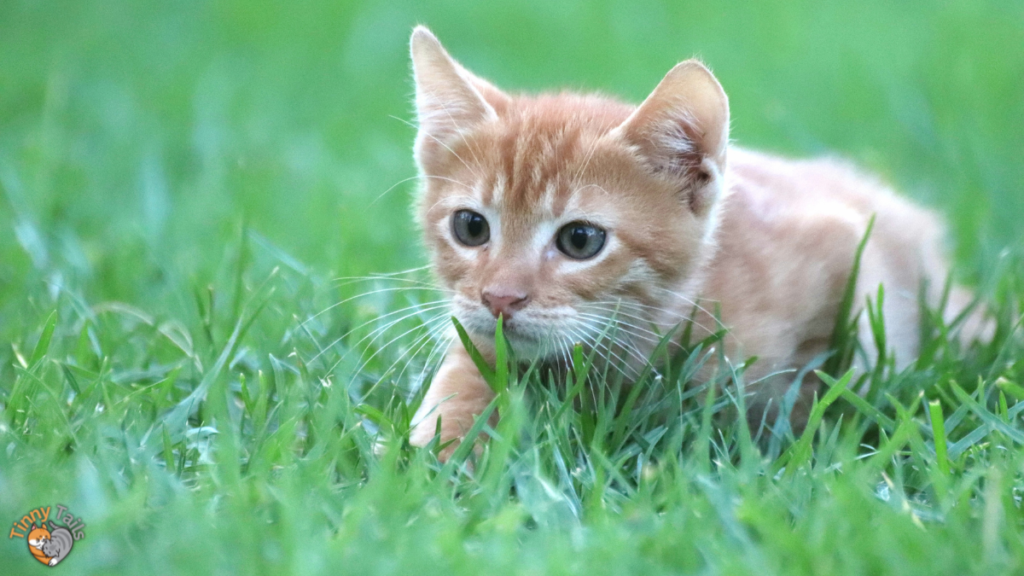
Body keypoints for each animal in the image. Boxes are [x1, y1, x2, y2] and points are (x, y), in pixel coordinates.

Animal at [403, 25, 978, 457]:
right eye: (471, 228)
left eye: (581, 240)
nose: (500, 298)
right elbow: (466, 377)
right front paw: (442, 449)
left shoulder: (846, 247)